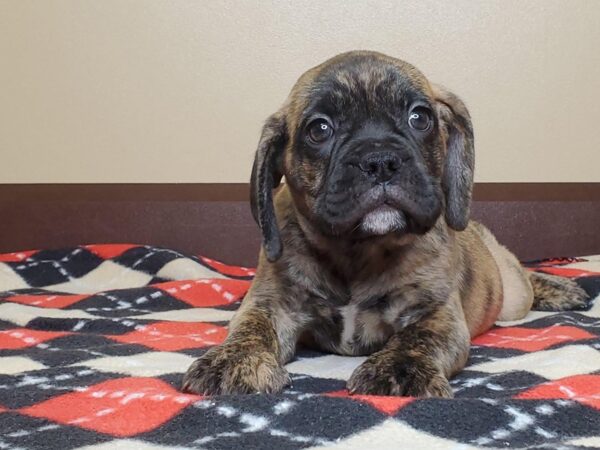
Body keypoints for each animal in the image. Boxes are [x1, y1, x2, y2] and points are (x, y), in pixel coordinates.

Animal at [182, 51, 584, 398]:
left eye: (420, 118)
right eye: (319, 129)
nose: (380, 161)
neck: (357, 251)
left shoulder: (435, 311)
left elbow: (417, 339)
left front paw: (400, 369)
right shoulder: (272, 303)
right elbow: (250, 328)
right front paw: (234, 360)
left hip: (511, 294)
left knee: (522, 276)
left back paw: (558, 288)